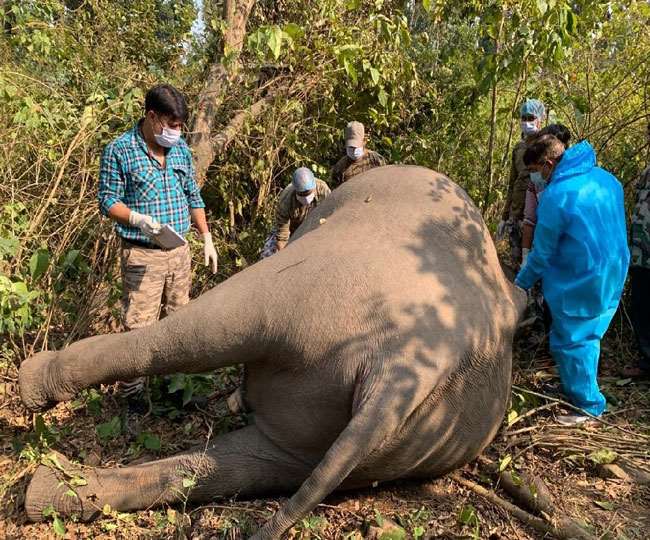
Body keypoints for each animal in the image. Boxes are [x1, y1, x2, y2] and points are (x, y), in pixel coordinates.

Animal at [18, 165, 526, 539]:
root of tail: (405, 368)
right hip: (395, 443)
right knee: (244, 465)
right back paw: (48, 491)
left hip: (308, 289)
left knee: (196, 332)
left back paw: (31, 391)